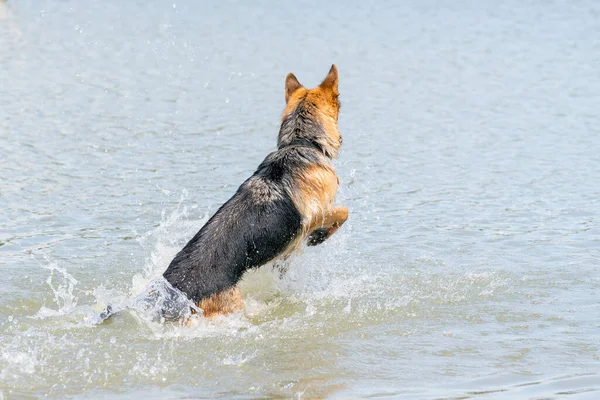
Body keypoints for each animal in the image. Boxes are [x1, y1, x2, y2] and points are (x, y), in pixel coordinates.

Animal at [96, 64, 346, 324]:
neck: (301, 141)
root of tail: (174, 292)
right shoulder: (315, 213)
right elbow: (342, 213)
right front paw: (320, 236)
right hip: (229, 307)